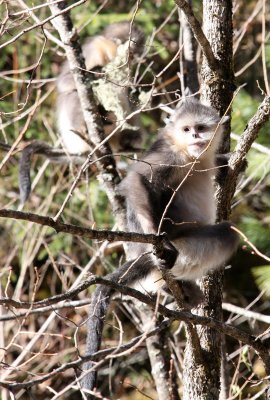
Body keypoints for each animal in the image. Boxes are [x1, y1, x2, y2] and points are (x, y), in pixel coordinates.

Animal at [56, 20, 146, 155]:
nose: (130, 62)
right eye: (129, 54)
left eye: (133, 56)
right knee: (74, 93)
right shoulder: (92, 51)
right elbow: (64, 82)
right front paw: (95, 73)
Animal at [81, 97, 239, 396]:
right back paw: (165, 272)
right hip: (185, 243)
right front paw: (158, 237)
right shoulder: (170, 156)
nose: (195, 137)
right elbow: (137, 181)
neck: (192, 155)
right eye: (187, 129)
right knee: (228, 234)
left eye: (201, 128)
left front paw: (228, 161)